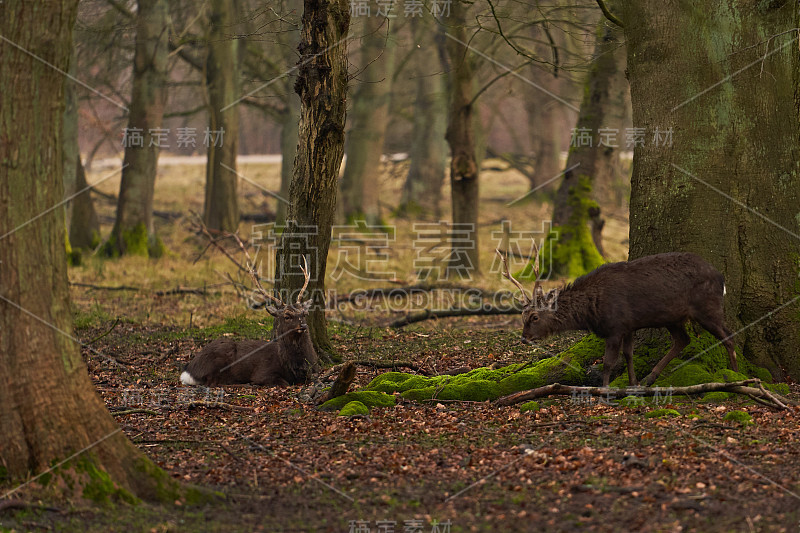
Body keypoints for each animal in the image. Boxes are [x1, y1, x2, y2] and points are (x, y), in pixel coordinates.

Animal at [181, 258, 318, 386]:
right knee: (212, 381)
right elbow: (284, 383)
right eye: (287, 316)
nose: (303, 325)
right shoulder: (263, 373)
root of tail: (189, 370)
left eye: (304, 313)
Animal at [496, 247, 740, 384]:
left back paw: (737, 375)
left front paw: (604, 390)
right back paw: (650, 377)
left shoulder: (615, 327)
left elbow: (608, 362)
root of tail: (721, 278)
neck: (593, 312)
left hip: (707, 307)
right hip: (673, 317)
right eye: (522, 315)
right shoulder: (628, 326)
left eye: (535, 317)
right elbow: (629, 355)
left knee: (729, 335)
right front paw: (633, 383)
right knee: (683, 340)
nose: (524, 338)